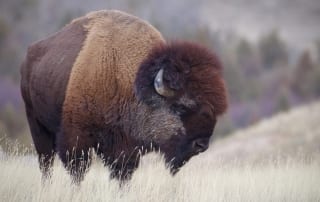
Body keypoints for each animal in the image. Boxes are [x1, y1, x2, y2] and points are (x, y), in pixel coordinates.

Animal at [20, 9, 228, 183]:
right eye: (181, 106)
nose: (201, 145)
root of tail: (30, 54)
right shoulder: (77, 137)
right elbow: (78, 171)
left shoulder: (125, 148)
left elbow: (122, 174)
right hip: (37, 125)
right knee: (46, 162)